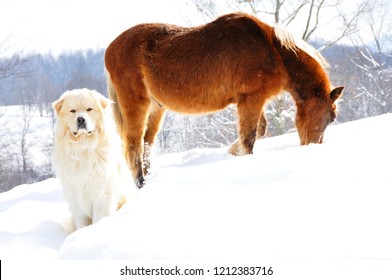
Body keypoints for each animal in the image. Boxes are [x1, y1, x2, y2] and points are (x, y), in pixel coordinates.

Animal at [51, 89, 138, 230]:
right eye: (73, 111)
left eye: (89, 109)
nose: (81, 119)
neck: (83, 147)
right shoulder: (76, 197)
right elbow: (81, 222)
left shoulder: (101, 195)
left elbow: (99, 218)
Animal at [104, 13, 344, 188]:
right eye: (331, 118)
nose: (312, 147)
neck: (273, 50)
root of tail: (110, 49)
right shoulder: (251, 99)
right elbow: (249, 138)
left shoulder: (253, 100)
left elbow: (259, 130)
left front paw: (231, 151)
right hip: (137, 105)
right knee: (134, 146)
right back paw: (140, 182)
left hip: (156, 108)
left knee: (146, 144)